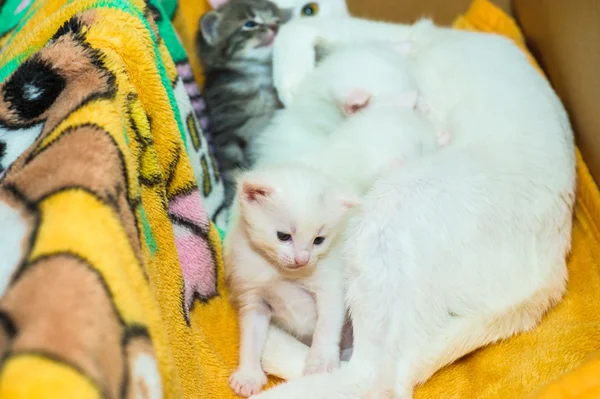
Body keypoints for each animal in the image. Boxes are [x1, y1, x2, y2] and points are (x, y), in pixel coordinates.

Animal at [197, 0, 290, 206]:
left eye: (277, 20)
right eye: (250, 24)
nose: (275, 27)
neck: (257, 77)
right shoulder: (225, 133)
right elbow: (233, 170)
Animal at [224, 162, 356, 396]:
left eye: (318, 240)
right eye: (283, 236)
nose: (302, 259)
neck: (283, 273)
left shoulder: (331, 284)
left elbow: (327, 323)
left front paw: (321, 362)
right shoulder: (252, 295)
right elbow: (251, 336)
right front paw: (248, 375)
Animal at [250, 16, 576, 399]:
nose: (429, 113)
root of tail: (554, 270)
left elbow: (307, 22)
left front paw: (290, 83)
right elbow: (310, 25)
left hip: (388, 214)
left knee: (371, 379)